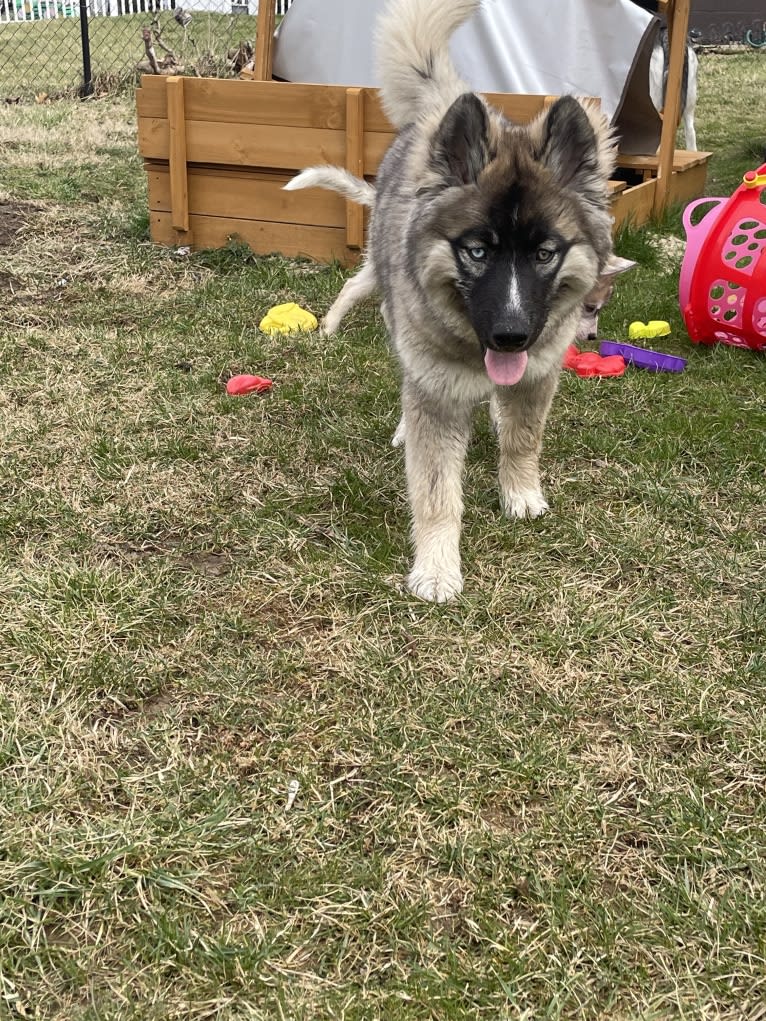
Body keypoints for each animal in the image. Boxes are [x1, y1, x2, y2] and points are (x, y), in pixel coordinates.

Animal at [285, 0, 616, 596]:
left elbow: (523, 439)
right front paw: (437, 568)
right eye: (477, 251)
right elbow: (436, 491)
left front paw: (520, 494)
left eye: (545, 253)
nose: (511, 336)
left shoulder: (537, 375)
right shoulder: (436, 396)